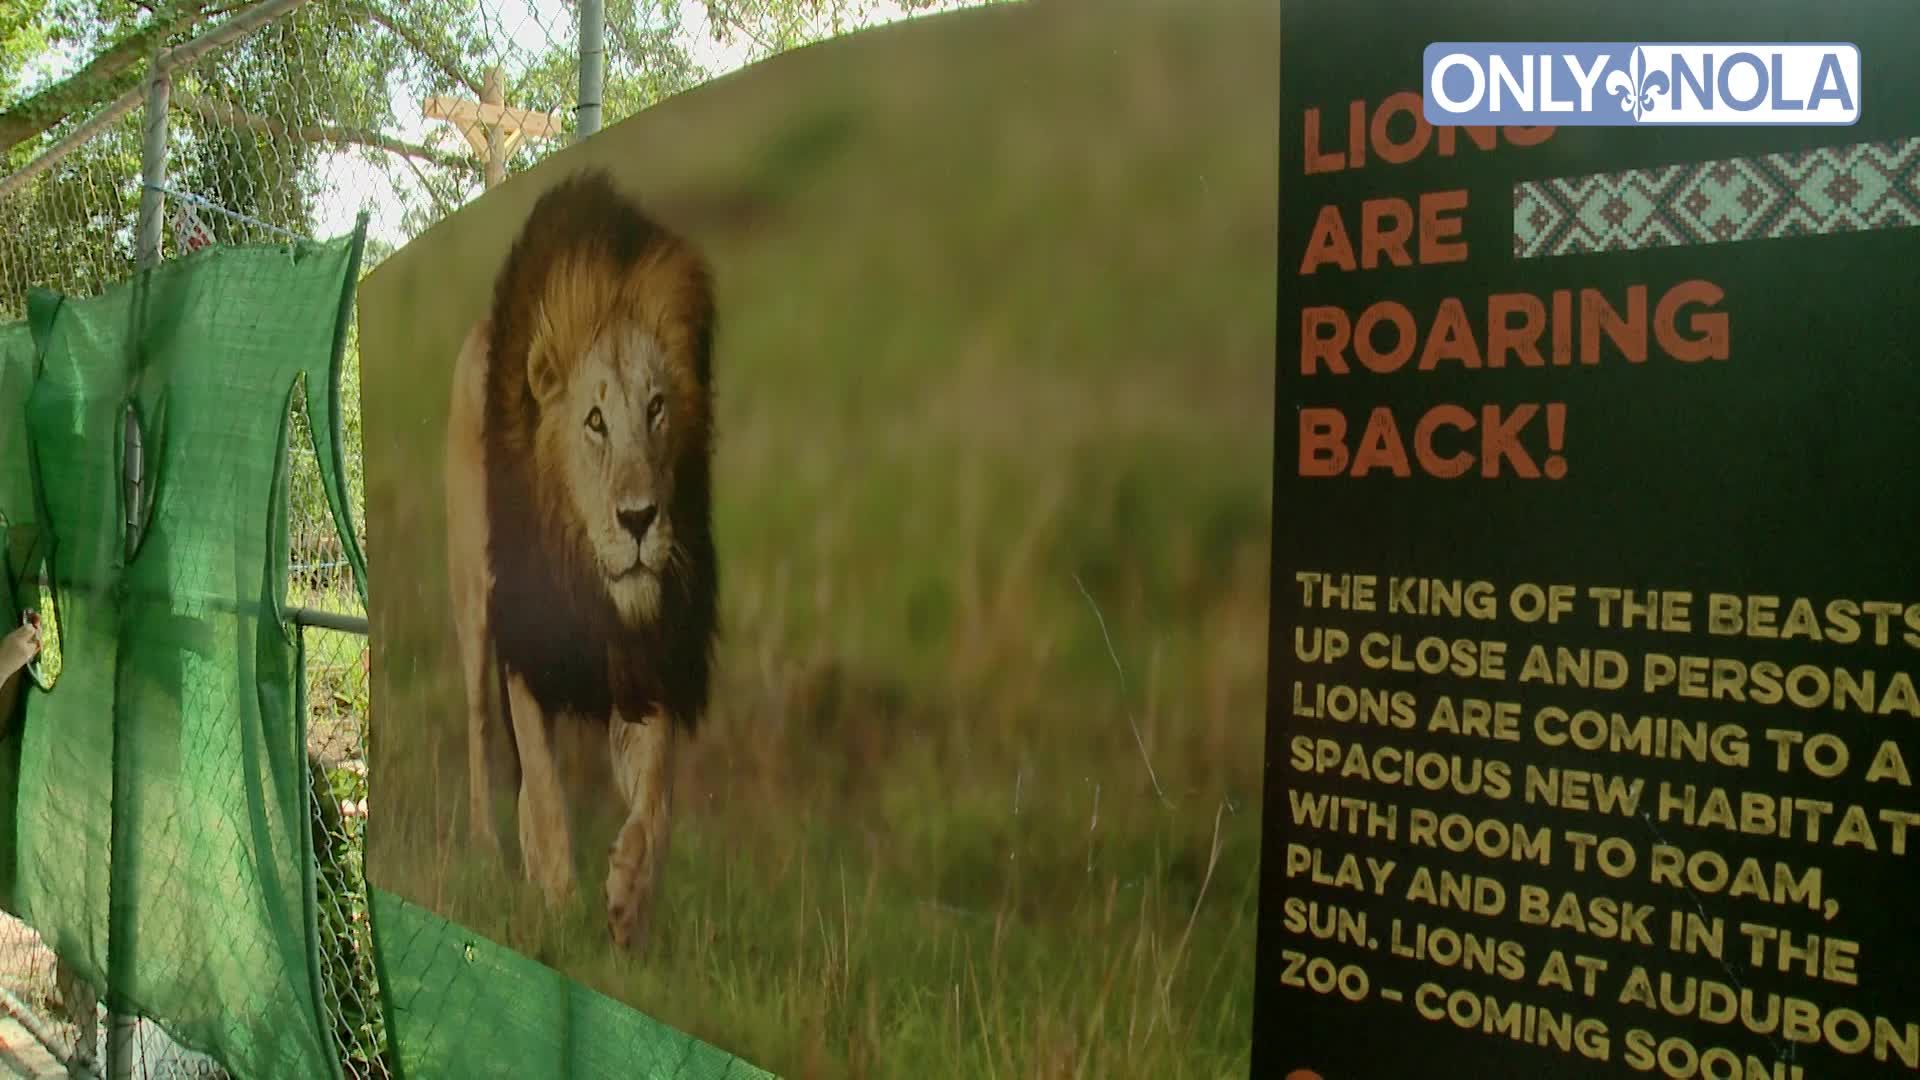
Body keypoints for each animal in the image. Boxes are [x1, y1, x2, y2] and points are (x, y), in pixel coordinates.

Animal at [443, 164, 721, 945]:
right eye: (595, 421)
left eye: (657, 408)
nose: (638, 519)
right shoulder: (525, 639)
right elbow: (540, 783)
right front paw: (560, 907)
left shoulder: (651, 649)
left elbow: (656, 789)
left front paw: (629, 895)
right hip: (473, 602)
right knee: (481, 728)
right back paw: (489, 851)